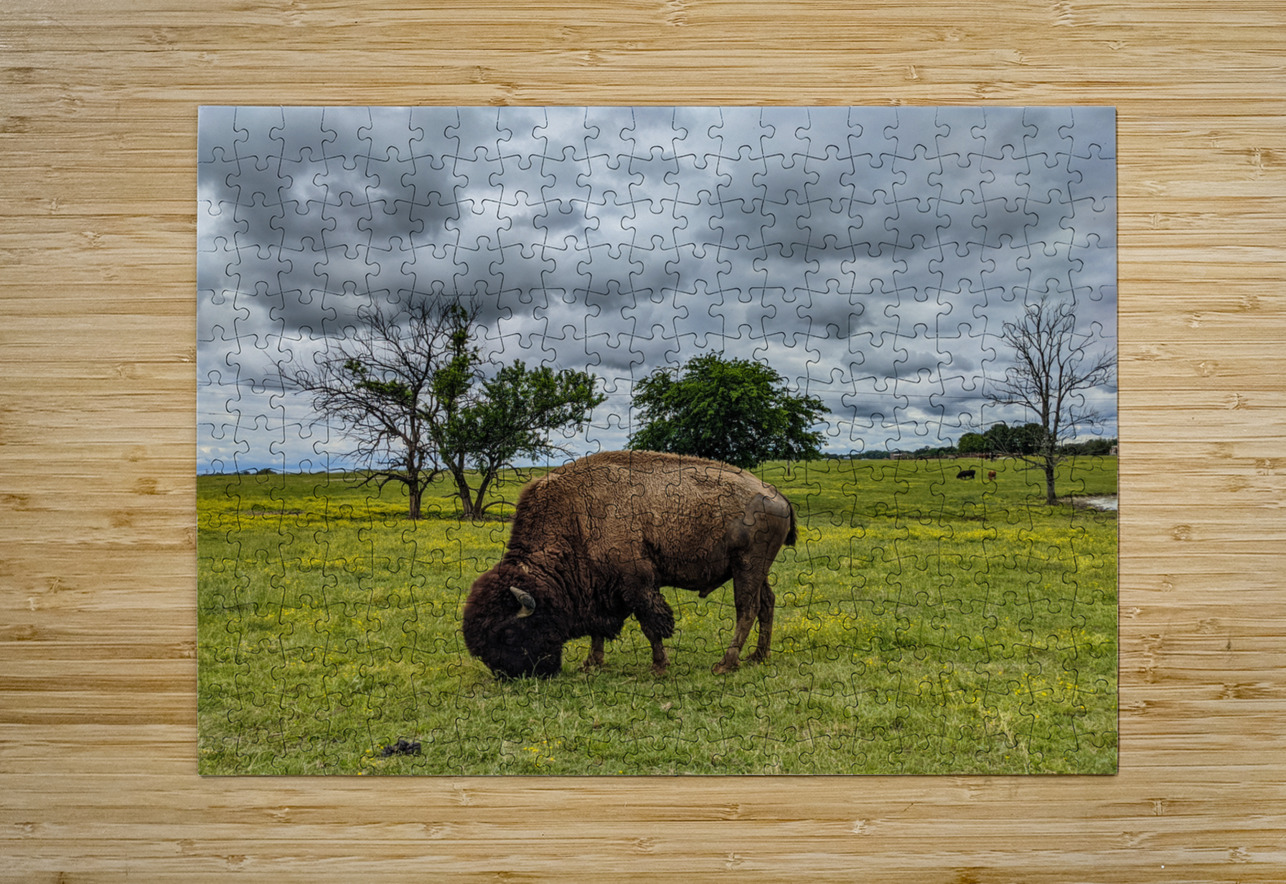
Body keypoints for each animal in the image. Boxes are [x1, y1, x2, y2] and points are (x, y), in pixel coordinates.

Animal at [461, 450, 796, 679]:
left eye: (507, 633)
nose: (510, 675)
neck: (575, 519)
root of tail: (776, 493)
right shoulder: (600, 588)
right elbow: (599, 630)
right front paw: (591, 663)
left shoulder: (637, 584)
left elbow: (651, 624)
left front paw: (659, 666)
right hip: (756, 570)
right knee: (767, 603)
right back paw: (757, 657)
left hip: (747, 566)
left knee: (747, 609)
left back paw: (725, 664)